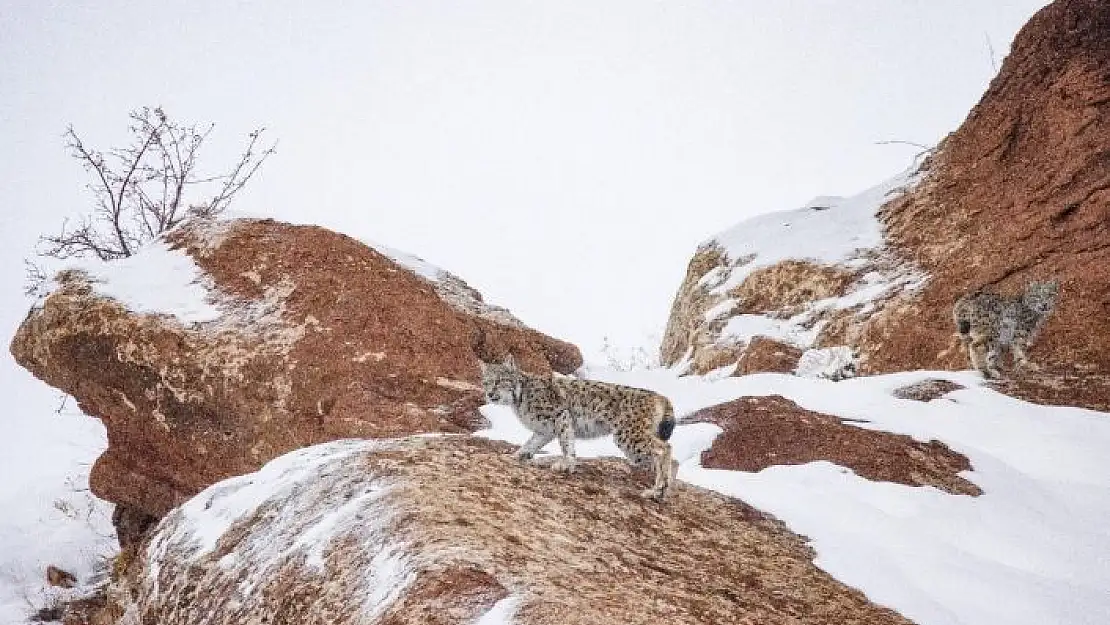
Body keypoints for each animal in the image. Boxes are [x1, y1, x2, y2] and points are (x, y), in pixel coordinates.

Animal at [483, 357, 679, 503]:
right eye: (486, 382)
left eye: (499, 381)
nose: (490, 394)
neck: (518, 399)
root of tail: (660, 396)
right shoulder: (544, 430)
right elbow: (530, 443)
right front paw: (516, 455)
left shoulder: (561, 416)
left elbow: (566, 443)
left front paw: (566, 464)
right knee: (672, 457)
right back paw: (663, 492)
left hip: (627, 436)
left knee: (664, 449)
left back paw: (657, 491)